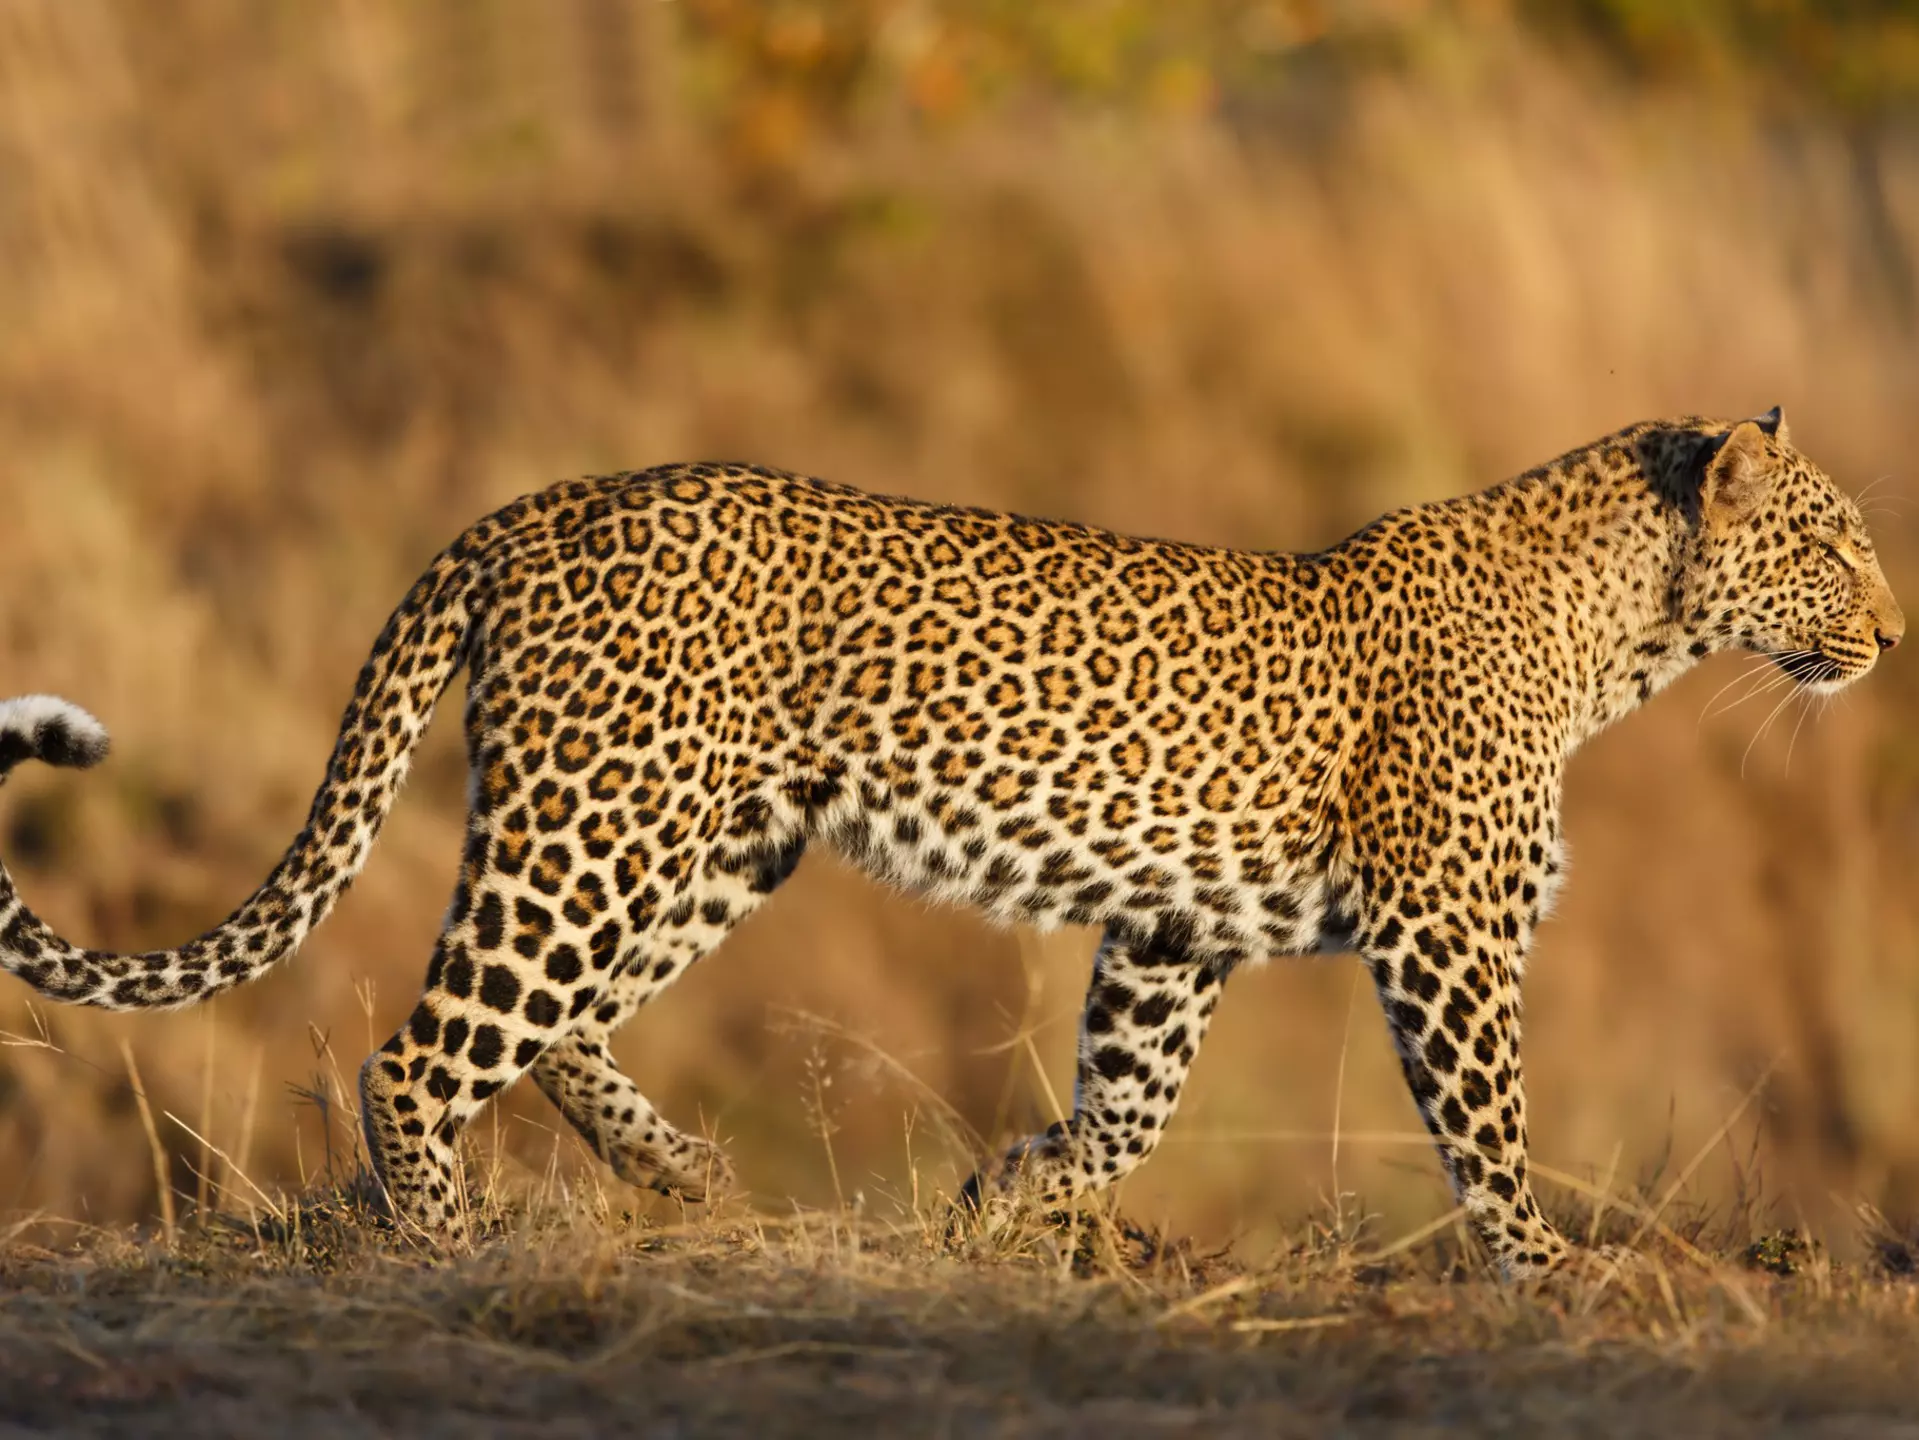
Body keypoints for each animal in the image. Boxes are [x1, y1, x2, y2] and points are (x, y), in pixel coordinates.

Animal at [0, 407, 1902, 1279]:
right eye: (1827, 546)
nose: (1889, 636)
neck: (1626, 639)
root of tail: (552, 500)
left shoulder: (1172, 928)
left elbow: (1127, 1108)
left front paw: (1002, 1199)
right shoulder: (1443, 931)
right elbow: (1484, 1121)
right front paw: (1540, 1272)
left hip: (710, 838)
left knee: (546, 1029)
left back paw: (677, 1175)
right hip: (603, 820)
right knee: (420, 1049)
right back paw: (440, 1244)